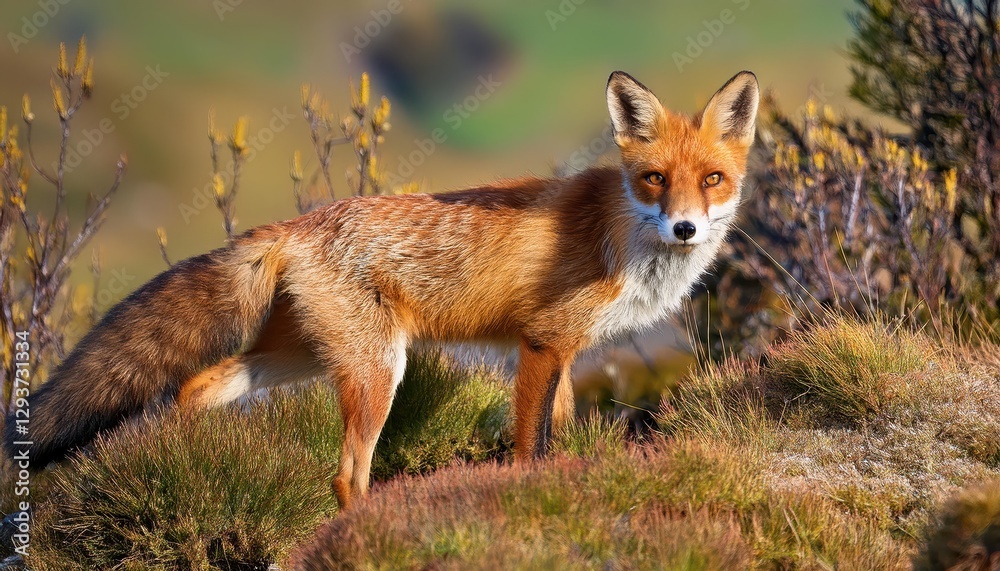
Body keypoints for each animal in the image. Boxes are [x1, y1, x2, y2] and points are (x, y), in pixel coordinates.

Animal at [4, 70, 758, 509]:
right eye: (655, 179)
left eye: (712, 179)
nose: (686, 227)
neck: (622, 235)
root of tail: (297, 222)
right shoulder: (543, 343)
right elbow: (530, 447)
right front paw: (527, 496)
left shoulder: (556, 351)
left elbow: (559, 432)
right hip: (376, 370)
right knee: (347, 475)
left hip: (303, 356)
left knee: (199, 383)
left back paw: (190, 458)